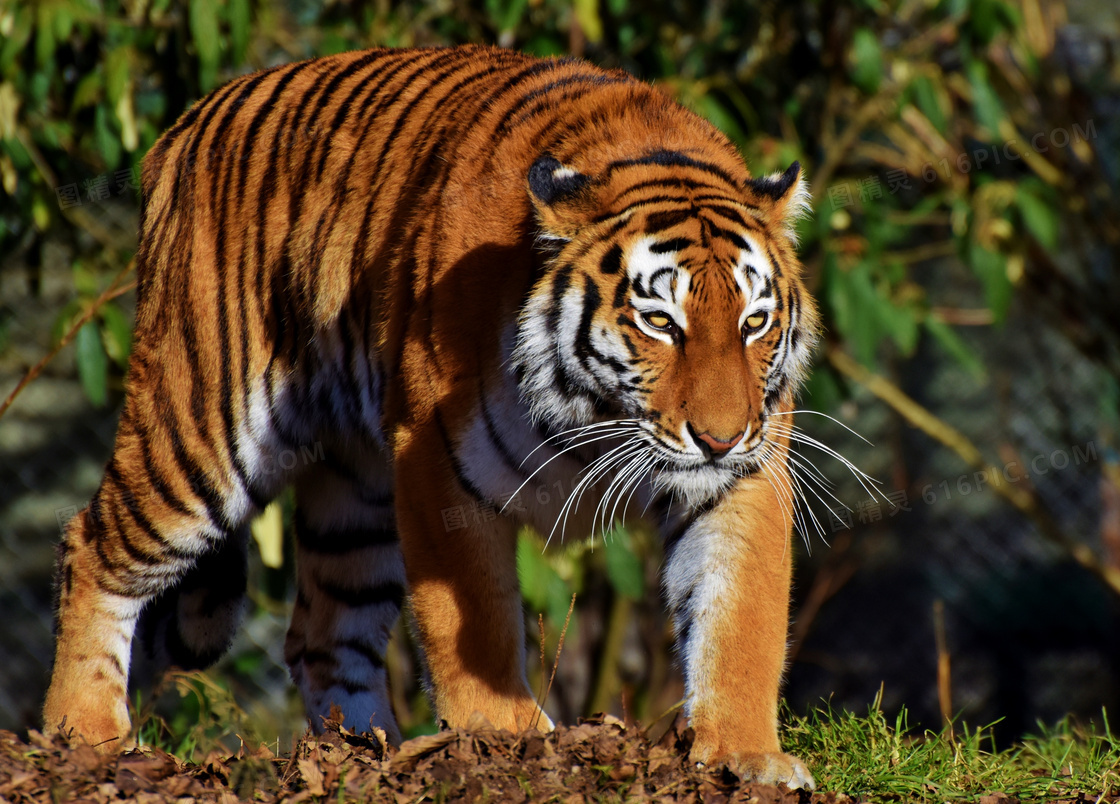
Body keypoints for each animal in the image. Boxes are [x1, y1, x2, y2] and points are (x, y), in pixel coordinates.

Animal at [43, 44, 819, 792]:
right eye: (660, 322)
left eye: (753, 323)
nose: (719, 438)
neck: (597, 415)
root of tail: (188, 122)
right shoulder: (439, 463)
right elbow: (473, 623)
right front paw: (508, 740)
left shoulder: (742, 478)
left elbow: (740, 618)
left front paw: (748, 756)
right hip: (202, 426)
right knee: (93, 543)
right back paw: (85, 733)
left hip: (356, 492)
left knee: (323, 634)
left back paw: (368, 754)